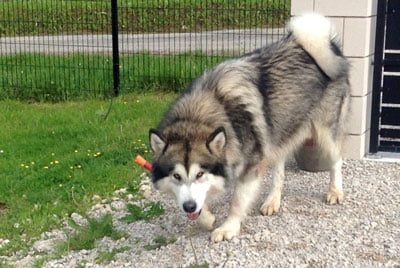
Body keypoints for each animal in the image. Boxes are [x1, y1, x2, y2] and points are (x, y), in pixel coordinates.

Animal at [148, 13, 350, 242]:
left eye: (199, 174)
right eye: (176, 176)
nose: (189, 207)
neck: (202, 114)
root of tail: (327, 44)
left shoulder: (251, 166)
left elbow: (237, 201)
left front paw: (228, 227)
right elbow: (201, 207)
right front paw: (206, 218)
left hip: (325, 132)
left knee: (336, 161)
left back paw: (335, 191)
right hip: (278, 132)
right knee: (279, 171)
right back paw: (273, 200)